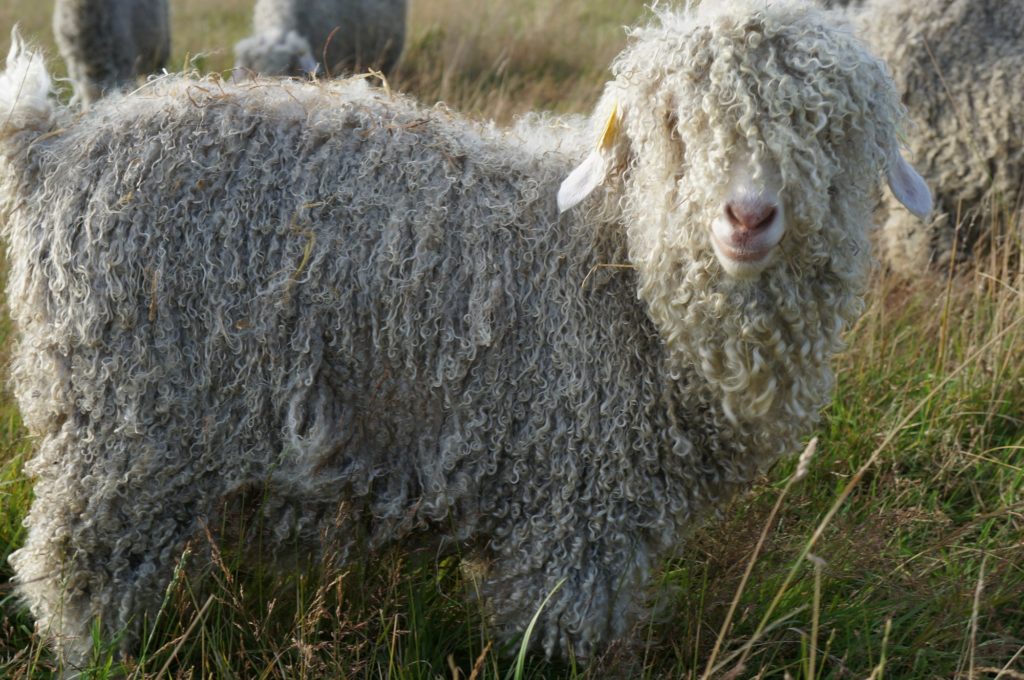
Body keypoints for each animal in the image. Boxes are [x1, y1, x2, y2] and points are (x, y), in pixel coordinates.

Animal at [0, 0, 929, 667]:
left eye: (825, 126)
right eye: (672, 124)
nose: (747, 217)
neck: (616, 266)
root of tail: (54, 149)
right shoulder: (573, 510)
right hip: (123, 438)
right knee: (72, 579)